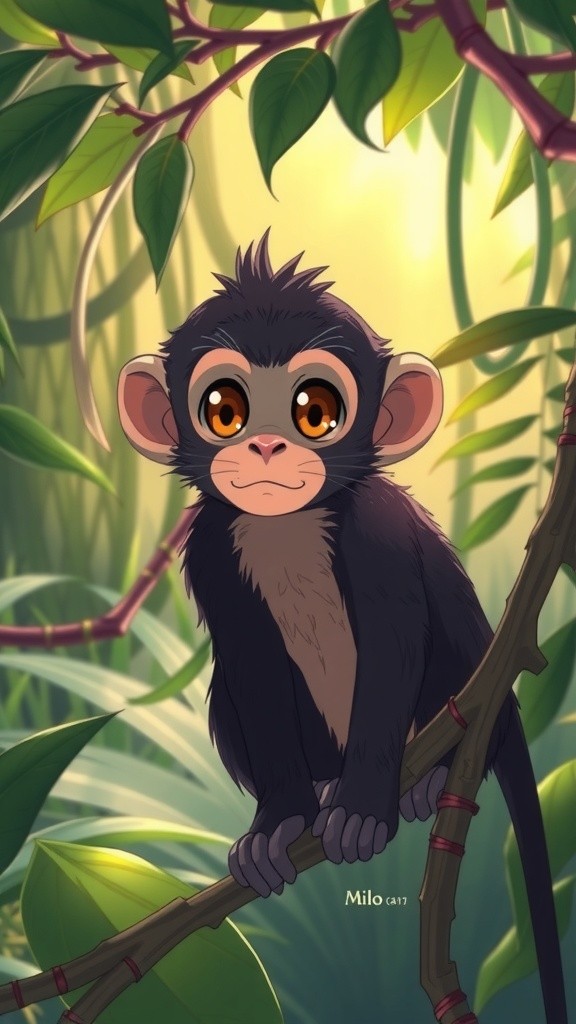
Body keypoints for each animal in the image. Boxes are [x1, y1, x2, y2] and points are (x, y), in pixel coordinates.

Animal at [117, 233, 567, 1023]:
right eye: (224, 409)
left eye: (315, 410)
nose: (266, 448)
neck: (289, 528)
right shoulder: (210, 549)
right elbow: (251, 666)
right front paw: (279, 823)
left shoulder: (375, 528)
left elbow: (393, 642)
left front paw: (361, 808)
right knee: (228, 694)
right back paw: (323, 794)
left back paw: (421, 781)